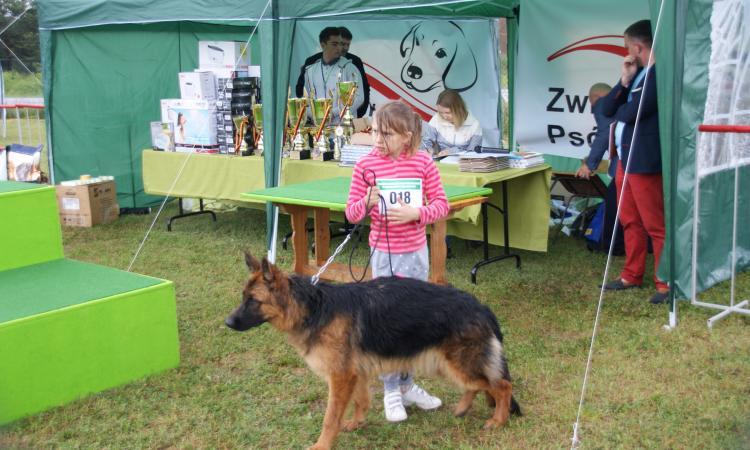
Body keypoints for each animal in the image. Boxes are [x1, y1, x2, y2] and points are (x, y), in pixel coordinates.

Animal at [226, 253, 520, 450]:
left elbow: (330, 418)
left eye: (253, 301)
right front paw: (357, 423)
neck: (313, 308)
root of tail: (480, 306)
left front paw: (322, 445)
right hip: (446, 363)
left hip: (454, 363)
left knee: (501, 385)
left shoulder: (340, 376)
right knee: (480, 385)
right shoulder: (354, 373)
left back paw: (498, 420)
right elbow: (361, 400)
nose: (227, 323)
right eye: (243, 298)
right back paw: (463, 408)